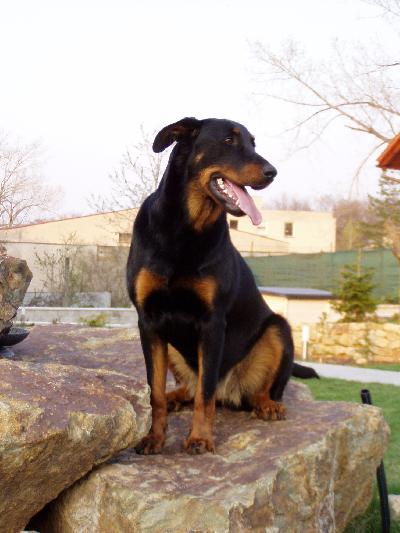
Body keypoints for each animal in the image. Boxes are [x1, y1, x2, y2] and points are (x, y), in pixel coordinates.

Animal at [127, 117, 316, 455]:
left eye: (253, 143)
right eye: (229, 140)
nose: (272, 172)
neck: (184, 228)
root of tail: (231, 389)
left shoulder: (212, 322)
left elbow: (206, 394)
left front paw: (200, 438)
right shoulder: (148, 322)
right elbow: (155, 392)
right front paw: (154, 437)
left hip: (278, 329)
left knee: (260, 391)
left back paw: (268, 405)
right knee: (188, 388)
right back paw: (177, 397)